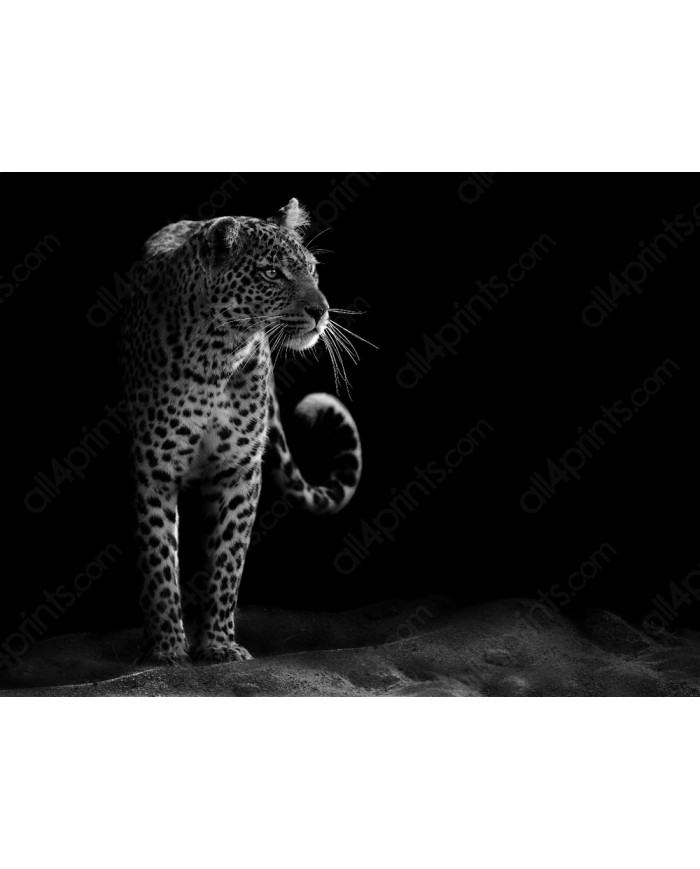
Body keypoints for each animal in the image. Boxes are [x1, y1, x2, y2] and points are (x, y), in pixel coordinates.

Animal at [120, 198, 363, 665]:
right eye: (272, 273)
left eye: (312, 270)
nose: (321, 310)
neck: (217, 354)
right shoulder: (154, 469)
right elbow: (159, 561)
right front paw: (166, 649)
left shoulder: (239, 471)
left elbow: (227, 561)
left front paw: (217, 644)